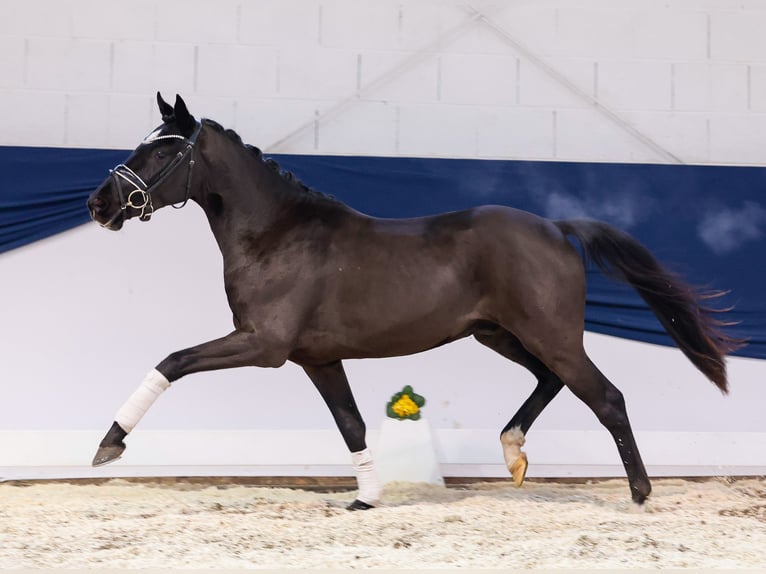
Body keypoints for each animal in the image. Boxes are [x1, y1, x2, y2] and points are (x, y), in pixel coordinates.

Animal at [88, 93, 744, 508]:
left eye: (163, 150)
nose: (100, 204)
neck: (277, 233)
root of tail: (557, 228)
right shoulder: (316, 358)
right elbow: (351, 424)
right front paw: (366, 499)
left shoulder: (264, 345)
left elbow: (172, 361)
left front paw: (109, 445)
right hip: (500, 334)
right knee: (551, 382)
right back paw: (513, 456)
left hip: (550, 335)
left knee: (606, 398)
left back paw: (639, 494)